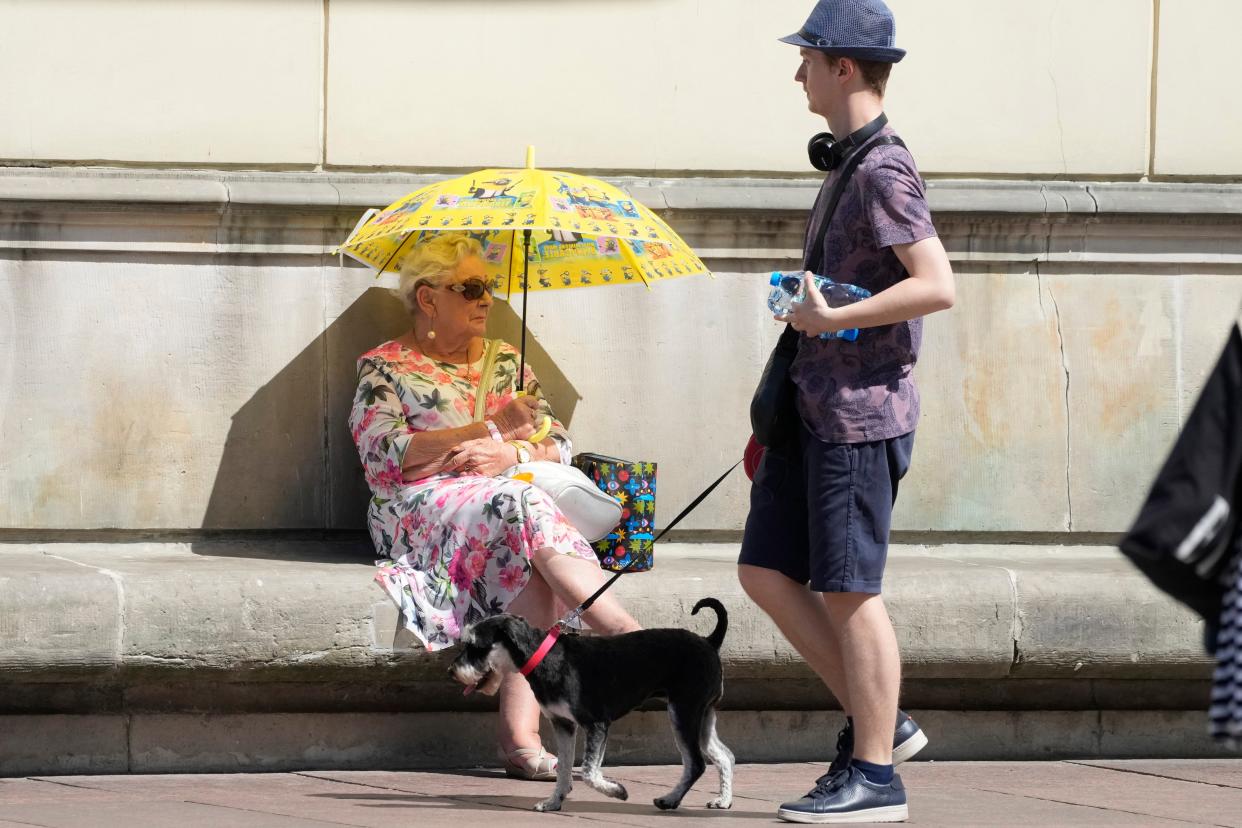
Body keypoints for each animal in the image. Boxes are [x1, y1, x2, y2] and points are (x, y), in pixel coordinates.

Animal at [449, 598, 730, 814]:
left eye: (475, 646)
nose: (452, 672)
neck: (548, 658)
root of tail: (709, 641)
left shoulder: (596, 724)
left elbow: (588, 772)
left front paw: (617, 791)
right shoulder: (563, 724)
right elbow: (564, 768)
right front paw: (553, 802)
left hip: (684, 712)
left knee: (696, 763)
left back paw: (670, 800)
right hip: (702, 716)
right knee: (724, 755)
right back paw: (723, 801)